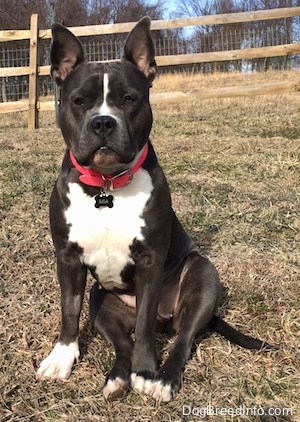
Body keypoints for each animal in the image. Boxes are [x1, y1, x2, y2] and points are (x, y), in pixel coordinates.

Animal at [36, 17, 276, 402]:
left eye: (129, 98)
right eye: (79, 100)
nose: (103, 123)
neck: (107, 186)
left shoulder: (150, 262)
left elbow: (146, 325)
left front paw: (146, 372)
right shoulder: (68, 258)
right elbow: (68, 311)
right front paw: (61, 359)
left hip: (203, 276)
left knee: (182, 337)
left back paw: (163, 378)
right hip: (100, 301)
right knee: (123, 342)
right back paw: (118, 379)